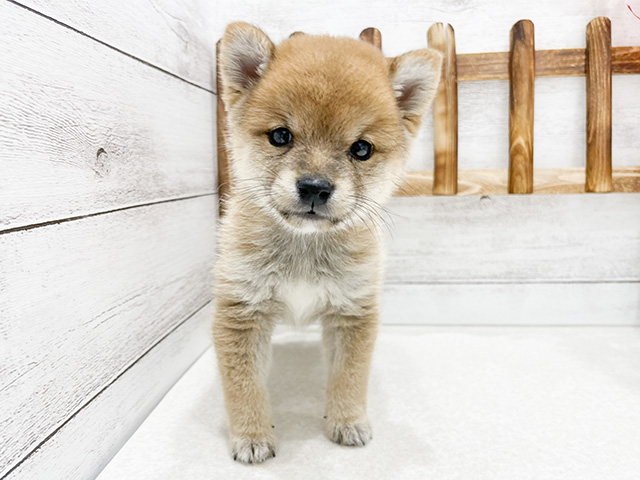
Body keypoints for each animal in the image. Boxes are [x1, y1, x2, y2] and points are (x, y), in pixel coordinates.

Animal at [214, 23, 440, 464]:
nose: (315, 187)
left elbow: (348, 378)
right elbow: (244, 386)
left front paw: (348, 421)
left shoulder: (351, 313)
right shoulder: (242, 313)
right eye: (280, 135)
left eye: (361, 148)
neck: (304, 247)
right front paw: (251, 435)